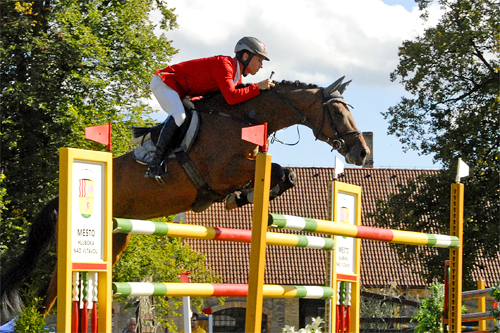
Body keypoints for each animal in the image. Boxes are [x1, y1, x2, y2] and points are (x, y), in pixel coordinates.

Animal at [0, 77, 368, 322]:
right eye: (337, 113)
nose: (361, 152)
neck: (241, 118)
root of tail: (60, 199)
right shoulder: (222, 171)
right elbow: (278, 170)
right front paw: (245, 197)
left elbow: (284, 174)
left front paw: (245, 198)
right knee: (52, 289)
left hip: (117, 238)